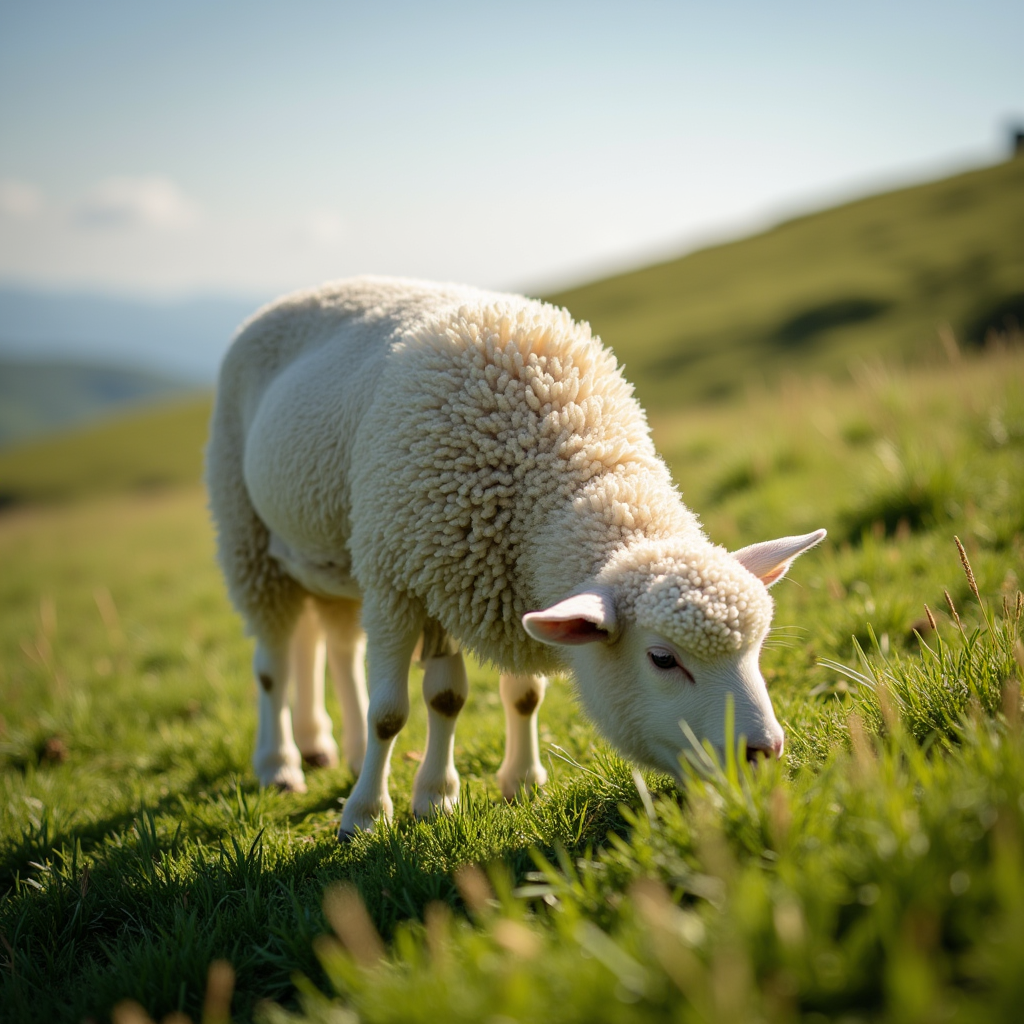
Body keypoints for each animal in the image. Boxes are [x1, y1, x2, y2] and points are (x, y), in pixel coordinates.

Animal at [206, 276, 825, 837]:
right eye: (662, 659)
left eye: (757, 648)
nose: (764, 750)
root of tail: (289, 297)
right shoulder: (398, 578)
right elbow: (392, 713)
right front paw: (366, 815)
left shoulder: (482, 579)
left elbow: (487, 696)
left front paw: (480, 789)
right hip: (247, 535)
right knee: (274, 663)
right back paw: (281, 765)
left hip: (329, 558)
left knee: (329, 643)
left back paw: (330, 748)